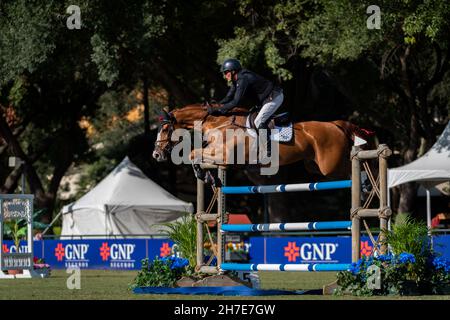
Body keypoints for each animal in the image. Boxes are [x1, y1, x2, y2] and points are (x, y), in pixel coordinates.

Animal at [153, 104, 370, 180]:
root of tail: (335, 124)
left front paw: (202, 174)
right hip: (314, 165)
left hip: (330, 165)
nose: (156, 154)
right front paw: (206, 176)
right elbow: (196, 154)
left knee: (356, 168)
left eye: (164, 129)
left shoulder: (226, 156)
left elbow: (192, 153)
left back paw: (367, 185)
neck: (220, 124)